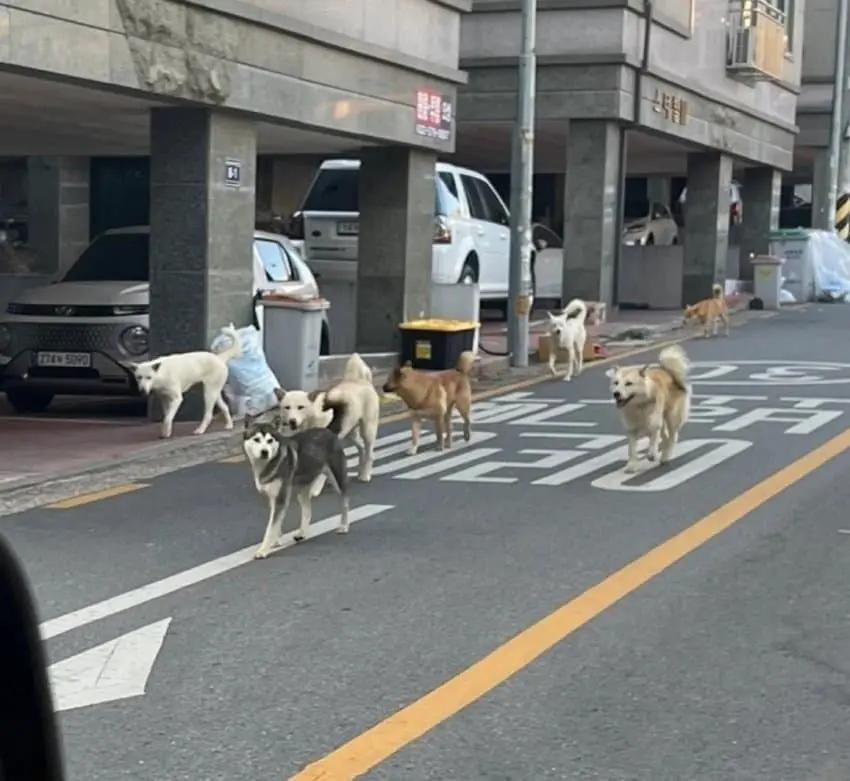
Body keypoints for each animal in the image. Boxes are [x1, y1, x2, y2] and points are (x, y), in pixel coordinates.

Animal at [243, 414, 350, 560]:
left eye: (270, 440)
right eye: (256, 439)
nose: (265, 452)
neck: (268, 464)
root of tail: (328, 431)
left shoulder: (280, 498)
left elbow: (270, 527)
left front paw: (263, 550)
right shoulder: (273, 498)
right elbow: (275, 524)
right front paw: (276, 541)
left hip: (338, 480)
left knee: (345, 502)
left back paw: (344, 526)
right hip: (302, 489)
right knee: (307, 511)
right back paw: (302, 533)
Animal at [274, 352, 378, 484]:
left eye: (301, 407)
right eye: (287, 407)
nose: (292, 421)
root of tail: (361, 381)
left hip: (367, 430)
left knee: (369, 453)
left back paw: (365, 475)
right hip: (349, 432)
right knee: (361, 449)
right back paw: (360, 471)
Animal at [604, 344, 688, 472]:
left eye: (629, 383)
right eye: (616, 383)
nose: (616, 394)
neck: (638, 406)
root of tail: (667, 371)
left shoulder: (654, 423)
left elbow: (653, 439)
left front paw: (652, 454)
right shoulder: (632, 428)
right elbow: (631, 448)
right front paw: (632, 464)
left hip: (672, 418)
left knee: (672, 437)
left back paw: (665, 456)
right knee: (665, 437)